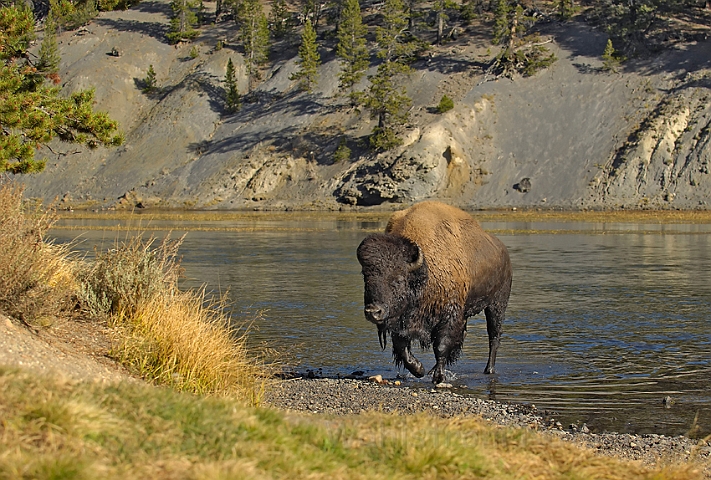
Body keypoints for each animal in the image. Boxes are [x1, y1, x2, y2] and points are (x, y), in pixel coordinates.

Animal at [356, 201, 512, 384]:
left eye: (398, 279)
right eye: (366, 277)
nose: (373, 311)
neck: (424, 269)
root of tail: (503, 252)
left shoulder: (449, 314)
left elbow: (441, 345)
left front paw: (438, 377)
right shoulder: (401, 322)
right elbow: (402, 346)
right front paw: (419, 370)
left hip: (496, 304)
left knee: (494, 336)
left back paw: (489, 370)